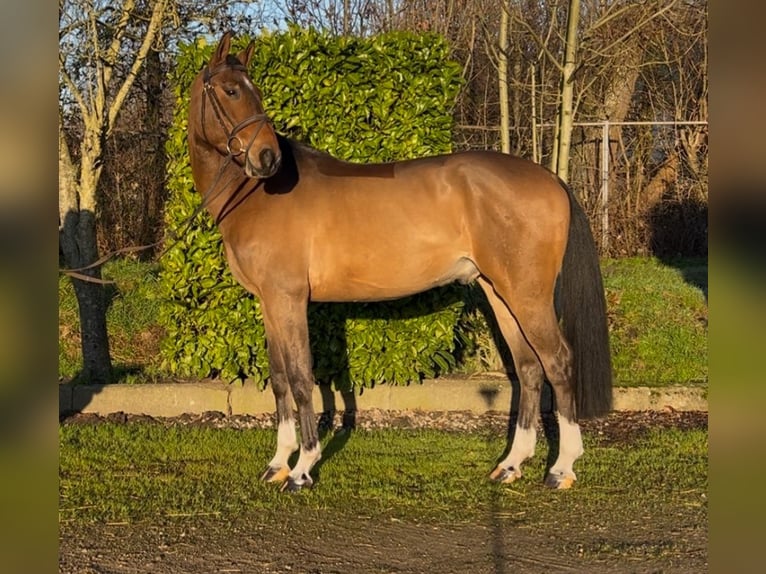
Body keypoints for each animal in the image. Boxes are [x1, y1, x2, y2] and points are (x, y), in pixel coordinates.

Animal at [189, 30, 616, 490]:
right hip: (500, 292)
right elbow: (281, 378)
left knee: (558, 362)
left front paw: (302, 468)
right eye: (231, 90)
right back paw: (511, 464)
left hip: (528, 295)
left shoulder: (289, 298)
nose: (267, 158)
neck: (256, 198)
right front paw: (277, 462)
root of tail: (552, 179)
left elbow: (302, 378)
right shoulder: (269, 303)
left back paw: (561, 468)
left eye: (252, 91)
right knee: (529, 368)